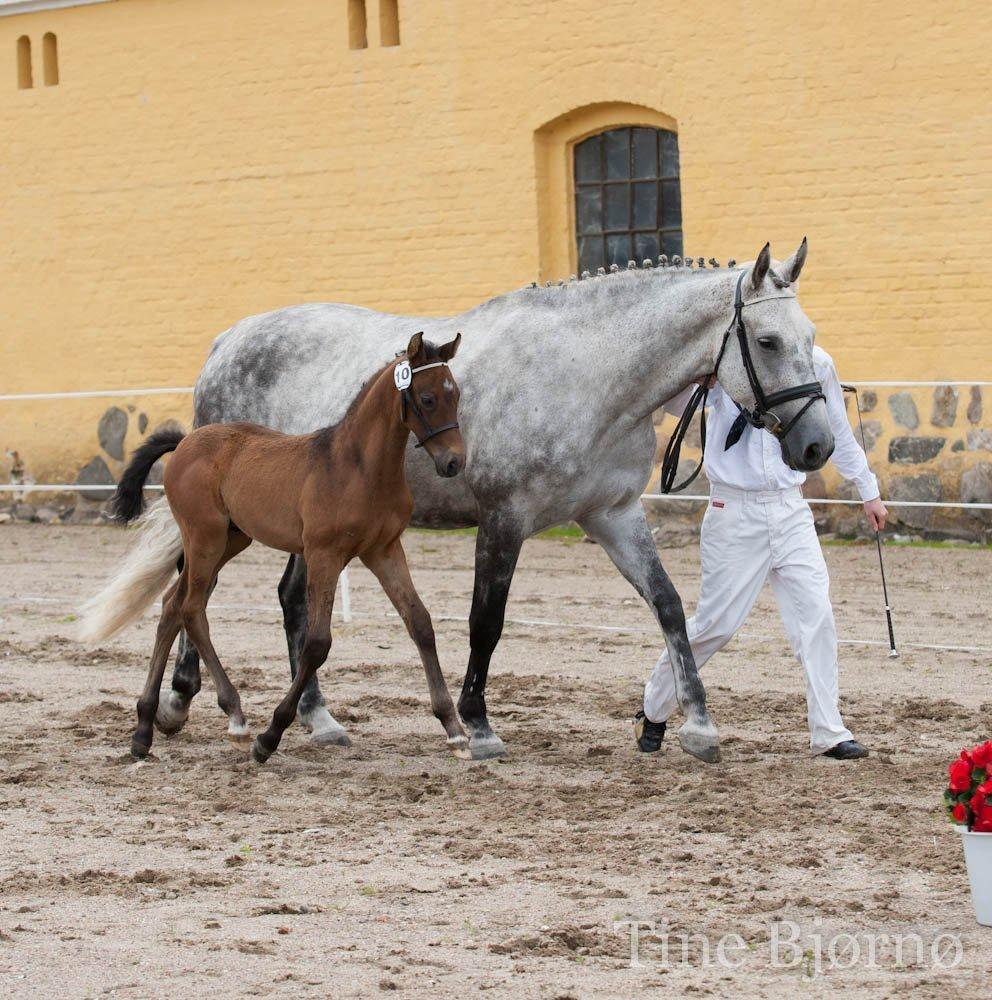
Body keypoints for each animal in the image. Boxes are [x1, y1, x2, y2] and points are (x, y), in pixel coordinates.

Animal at [86, 336, 468, 764]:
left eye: (456, 395)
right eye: (428, 398)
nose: (454, 462)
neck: (358, 467)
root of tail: (184, 441)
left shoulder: (383, 550)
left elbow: (420, 623)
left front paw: (455, 730)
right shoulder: (323, 554)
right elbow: (317, 643)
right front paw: (269, 737)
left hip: (231, 539)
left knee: (172, 605)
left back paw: (143, 730)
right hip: (205, 537)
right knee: (191, 607)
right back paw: (235, 719)